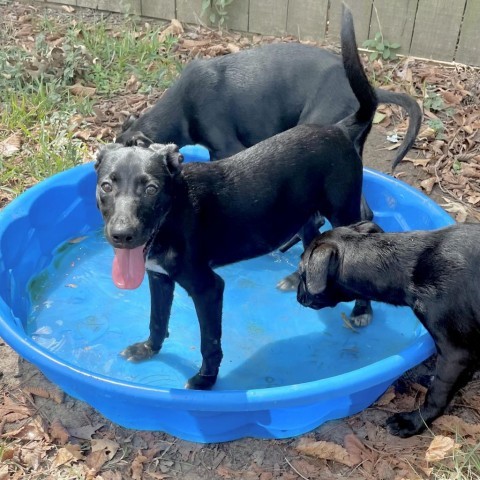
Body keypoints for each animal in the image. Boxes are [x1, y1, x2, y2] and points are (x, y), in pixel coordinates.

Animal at [94, 5, 378, 390]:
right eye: (106, 186)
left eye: (150, 188)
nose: (122, 236)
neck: (173, 217)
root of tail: (341, 128)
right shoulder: (158, 278)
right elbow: (157, 320)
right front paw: (148, 350)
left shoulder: (209, 288)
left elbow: (210, 342)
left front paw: (204, 382)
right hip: (301, 210)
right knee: (312, 235)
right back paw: (299, 278)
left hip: (344, 208)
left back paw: (362, 311)